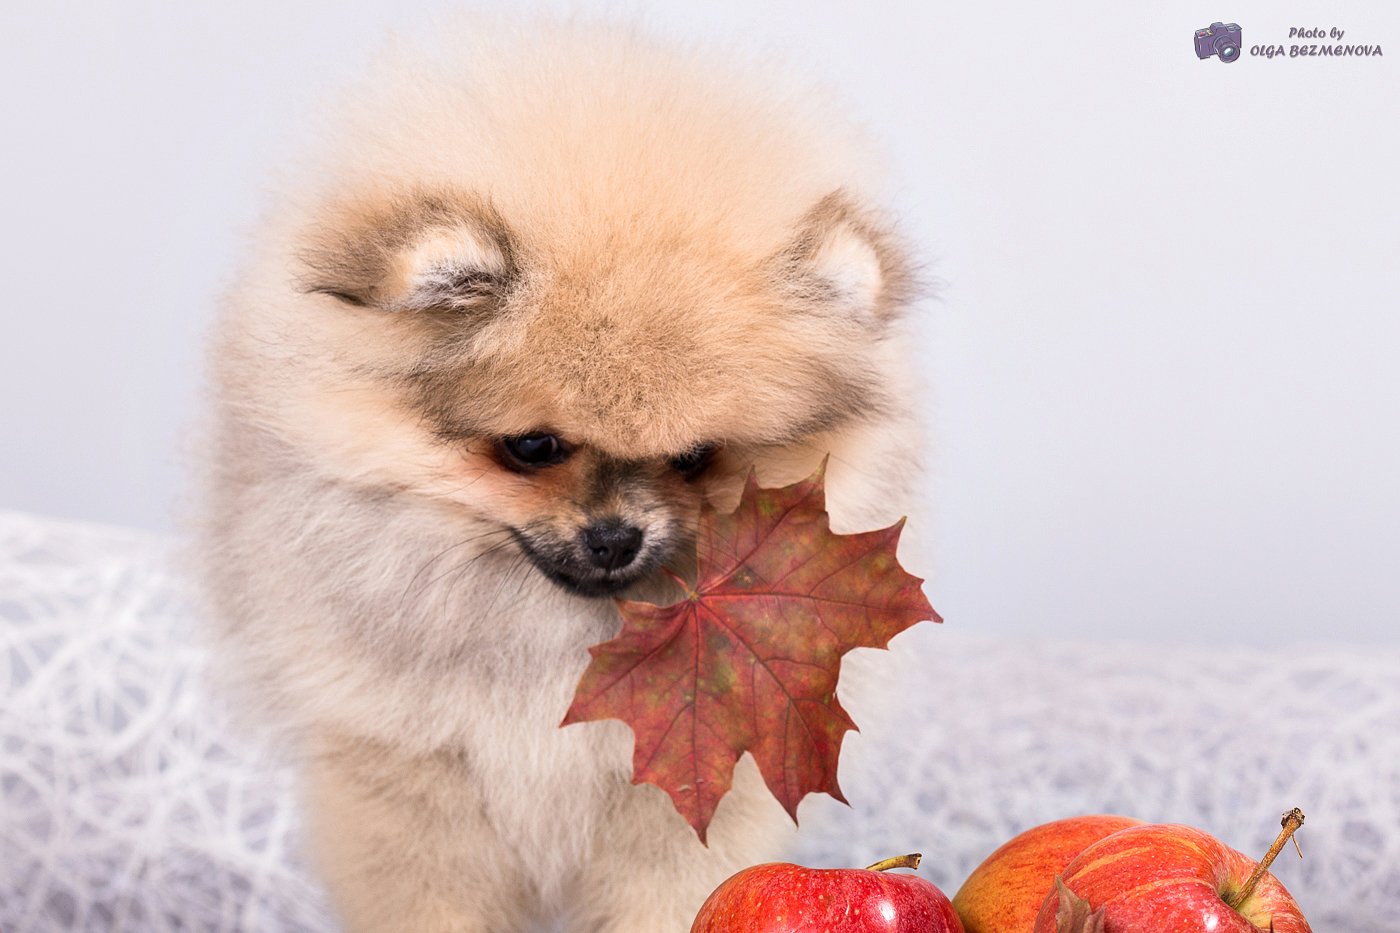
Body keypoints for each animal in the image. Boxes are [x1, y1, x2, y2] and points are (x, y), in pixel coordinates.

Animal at [197, 14, 924, 930]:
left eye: (695, 457)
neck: (556, 651)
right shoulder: (408, 771)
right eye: (534, 446)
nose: (615, 537)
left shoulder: (687, 782)